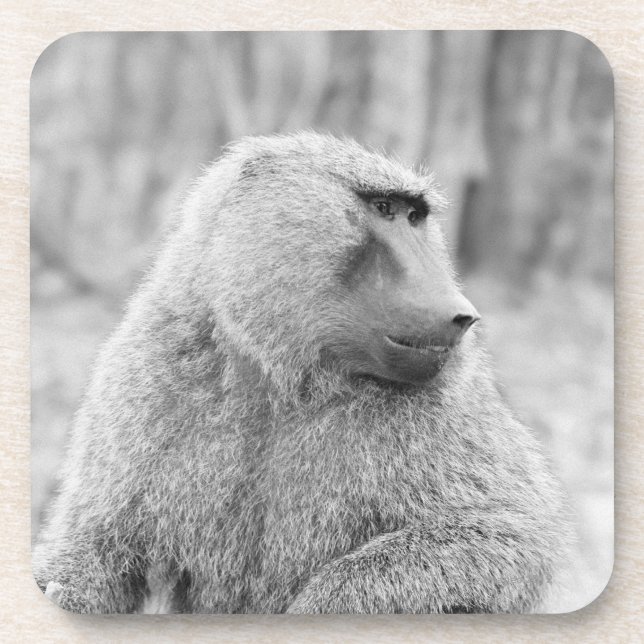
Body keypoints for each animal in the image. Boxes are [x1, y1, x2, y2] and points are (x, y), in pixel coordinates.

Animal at [33, 132, 571, 613]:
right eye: (383, 208)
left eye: (415, 217)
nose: (462, 315)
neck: (281, 378)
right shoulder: (145, 371)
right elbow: (98, 547)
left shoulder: (443, 407)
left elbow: (511, 538)